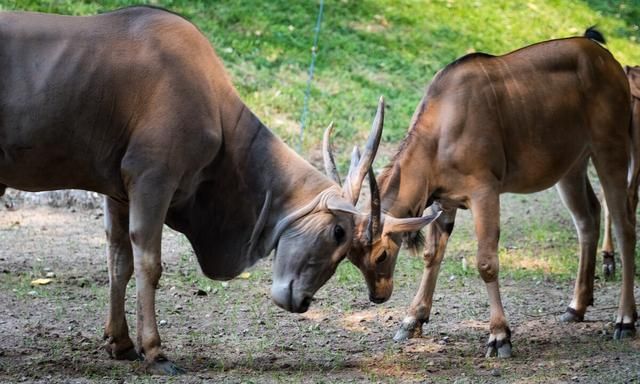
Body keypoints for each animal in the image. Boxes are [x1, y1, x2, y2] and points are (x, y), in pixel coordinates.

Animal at [0, 5, 384, 372]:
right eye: (338, 233)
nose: (302, 303)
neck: (213, 103)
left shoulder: (118, 193)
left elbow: (119, 261)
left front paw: (121, 344)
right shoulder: (152, 180)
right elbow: (149, 264)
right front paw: (154, 351)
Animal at [328, 28, 636, 358]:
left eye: (382, 254)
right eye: (352, 258)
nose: (378, 295)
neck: (444, 123)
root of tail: (606, 59)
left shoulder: (484, 192)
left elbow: (486, 263)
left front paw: (499, 336)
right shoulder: (444, 202)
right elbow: (432, 254)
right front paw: (412, 320)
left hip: (611, 150)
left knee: (624, 225)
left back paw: (625, 320)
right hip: (571, 167)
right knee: (587, 218)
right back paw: (576, 307)